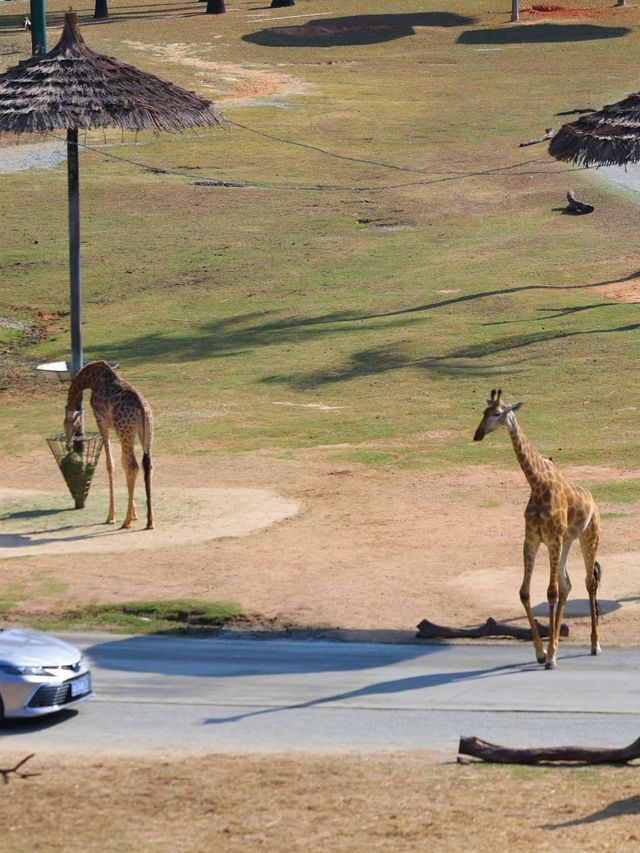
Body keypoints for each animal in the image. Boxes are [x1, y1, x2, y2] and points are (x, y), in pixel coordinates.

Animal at [64, 358, 155, 524]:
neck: (90, 379)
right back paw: (150, 521)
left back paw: (126, 521)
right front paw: (134, 514)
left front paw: (111, 516)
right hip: (146, 432)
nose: (67, 445)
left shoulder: (101, 421)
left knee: (133, 465)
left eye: (67, 424)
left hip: (125, 431)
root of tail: (142, 408)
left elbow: (110, 464)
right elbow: (121, 463)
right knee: (147, 465)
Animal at [472, 390, 604, 668]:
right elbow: (525, 592)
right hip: (567, 541)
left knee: (588, 582)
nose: (477, 434)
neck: (538, 483)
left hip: (589, 537)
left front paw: (551, 657)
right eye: (483, 412)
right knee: (567, 584)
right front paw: (542, 651)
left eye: (497, 413)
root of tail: (593, 502)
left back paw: (595, 644)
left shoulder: (551, 539)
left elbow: (550, 592)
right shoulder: (532, 539)